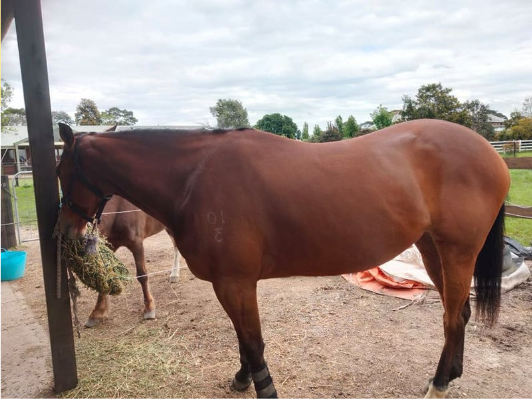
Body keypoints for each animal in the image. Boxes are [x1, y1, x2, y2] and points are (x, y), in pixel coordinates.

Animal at [84, 195, 181, 328]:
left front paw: (149, 308)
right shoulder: (110, 245)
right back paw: (174, 274)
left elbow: (142, 275)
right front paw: (97, 313)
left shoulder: (137, 244)